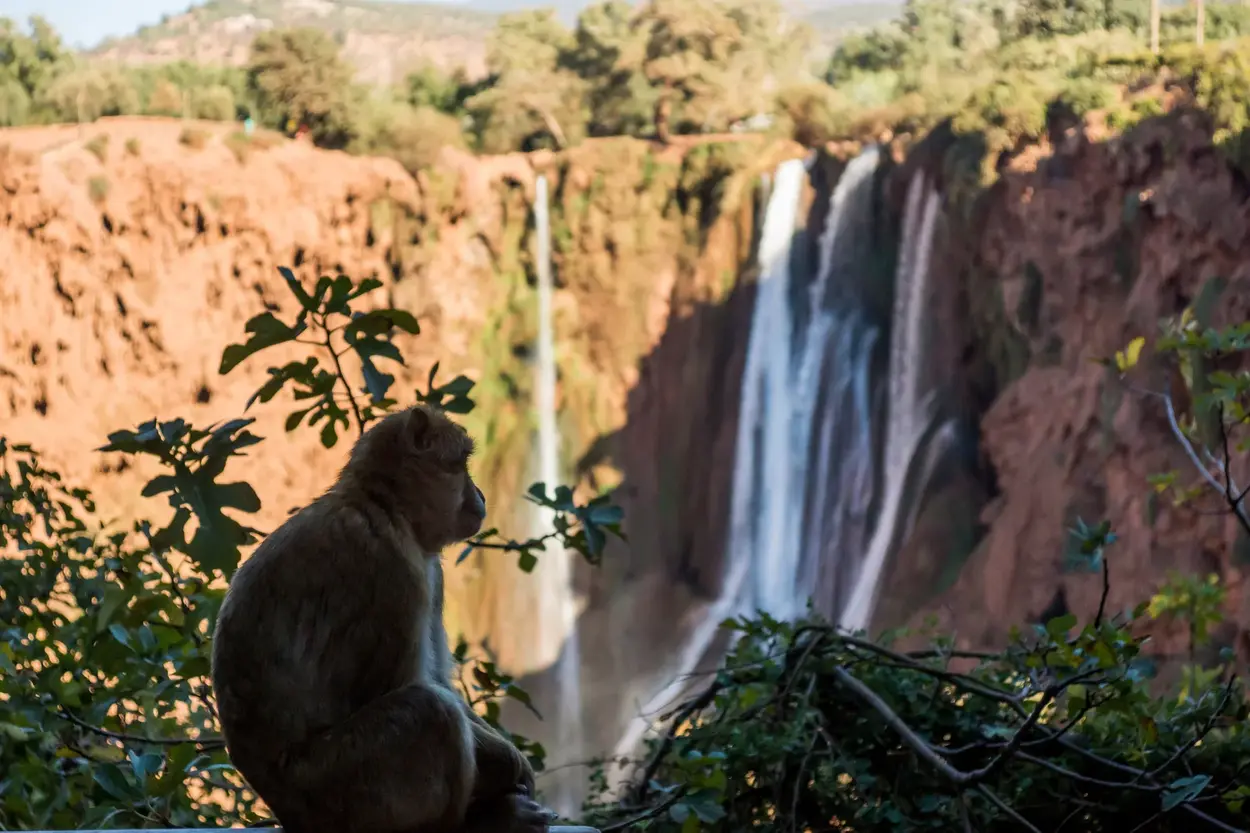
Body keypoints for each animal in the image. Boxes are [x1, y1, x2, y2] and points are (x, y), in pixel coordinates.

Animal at [210, 404, 552, 833]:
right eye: (461, 465)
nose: (480, 495)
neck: (385, 506)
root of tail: (286, 811)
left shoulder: (429, 572)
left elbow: (437, 680)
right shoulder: (393, 570)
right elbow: (403, 684)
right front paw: (511, 766)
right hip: (342, 789)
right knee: (432, 711)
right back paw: (476, 821)